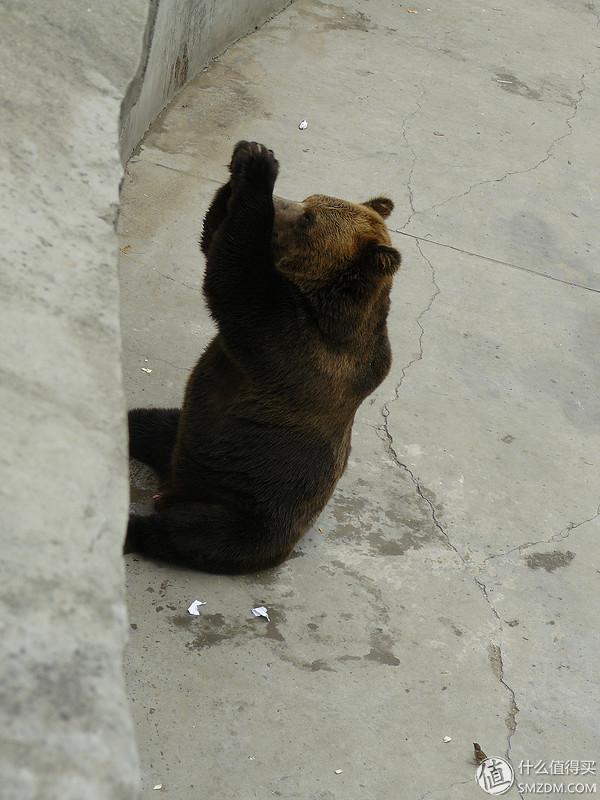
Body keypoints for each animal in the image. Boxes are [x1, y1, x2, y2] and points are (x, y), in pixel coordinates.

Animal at [125, 141, 400, 572]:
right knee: (147, 422)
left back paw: (133, 529)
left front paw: (258, 167)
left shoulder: (298, 346)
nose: (281, 201)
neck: (324, 302)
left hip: (250, 511)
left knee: (193, 533)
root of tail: (171, 486)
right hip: (183, 430)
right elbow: (214, 238)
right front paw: (245, 159)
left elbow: (234, 280)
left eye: (307, 218)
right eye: (309, 201)